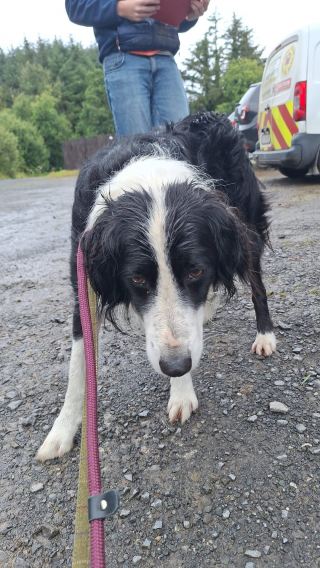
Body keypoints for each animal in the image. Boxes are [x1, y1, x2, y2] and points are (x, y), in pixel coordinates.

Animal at [37, 111, 276, 462]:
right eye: (137, 279)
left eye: (195, 270)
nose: (175, 366)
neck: (148, 174)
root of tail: (215, 115)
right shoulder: (83, 278)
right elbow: (78, 365)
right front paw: (63, 429)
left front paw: (181, 390)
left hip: (246, 223)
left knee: (256, 279)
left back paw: (265, 335)